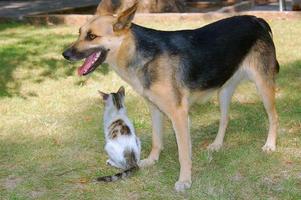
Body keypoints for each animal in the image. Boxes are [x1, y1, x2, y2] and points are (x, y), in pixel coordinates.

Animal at [61, 1, 278, 192]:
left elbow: (184, 153)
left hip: (263, 87)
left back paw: (270, 145)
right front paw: (151, 160)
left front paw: (185, 180)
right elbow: (157, 140)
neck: (137, 51)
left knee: (273, 116)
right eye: (79, 33)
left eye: (91, 36)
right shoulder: (155, 109)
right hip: (223, 91)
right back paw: (217, 145)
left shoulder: (178, 114)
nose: (65, 54)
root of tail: (256, 19)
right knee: (225, 119)